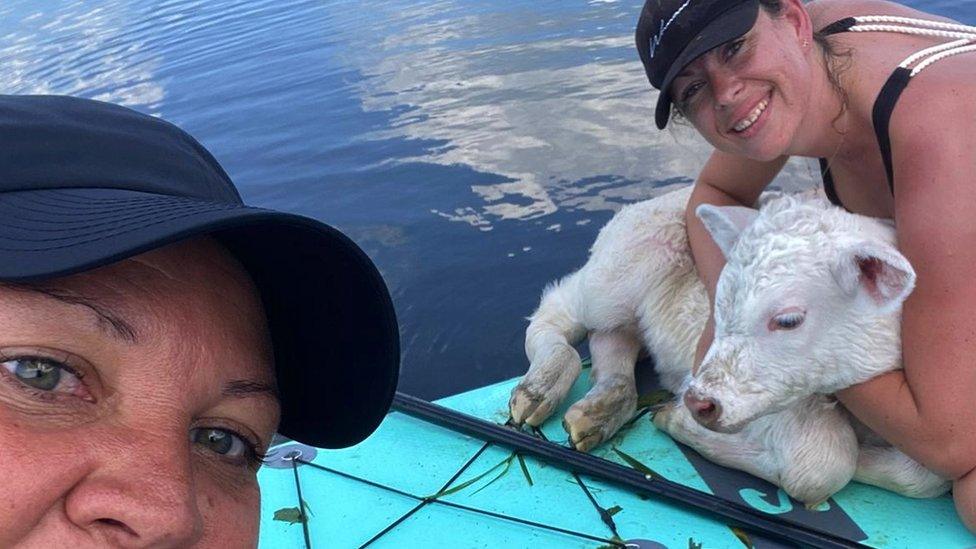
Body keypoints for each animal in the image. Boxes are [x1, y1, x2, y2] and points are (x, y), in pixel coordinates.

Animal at [510, 187, 944, 506]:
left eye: (789, 320)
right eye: (719, 301)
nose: (697, 400)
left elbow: (926, 476)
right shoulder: (775, 401)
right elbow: (824, 463)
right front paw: (676, 419)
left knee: (613, 340)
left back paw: (596, 413)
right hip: (619, 270)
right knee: (559, 309)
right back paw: (540, 389)